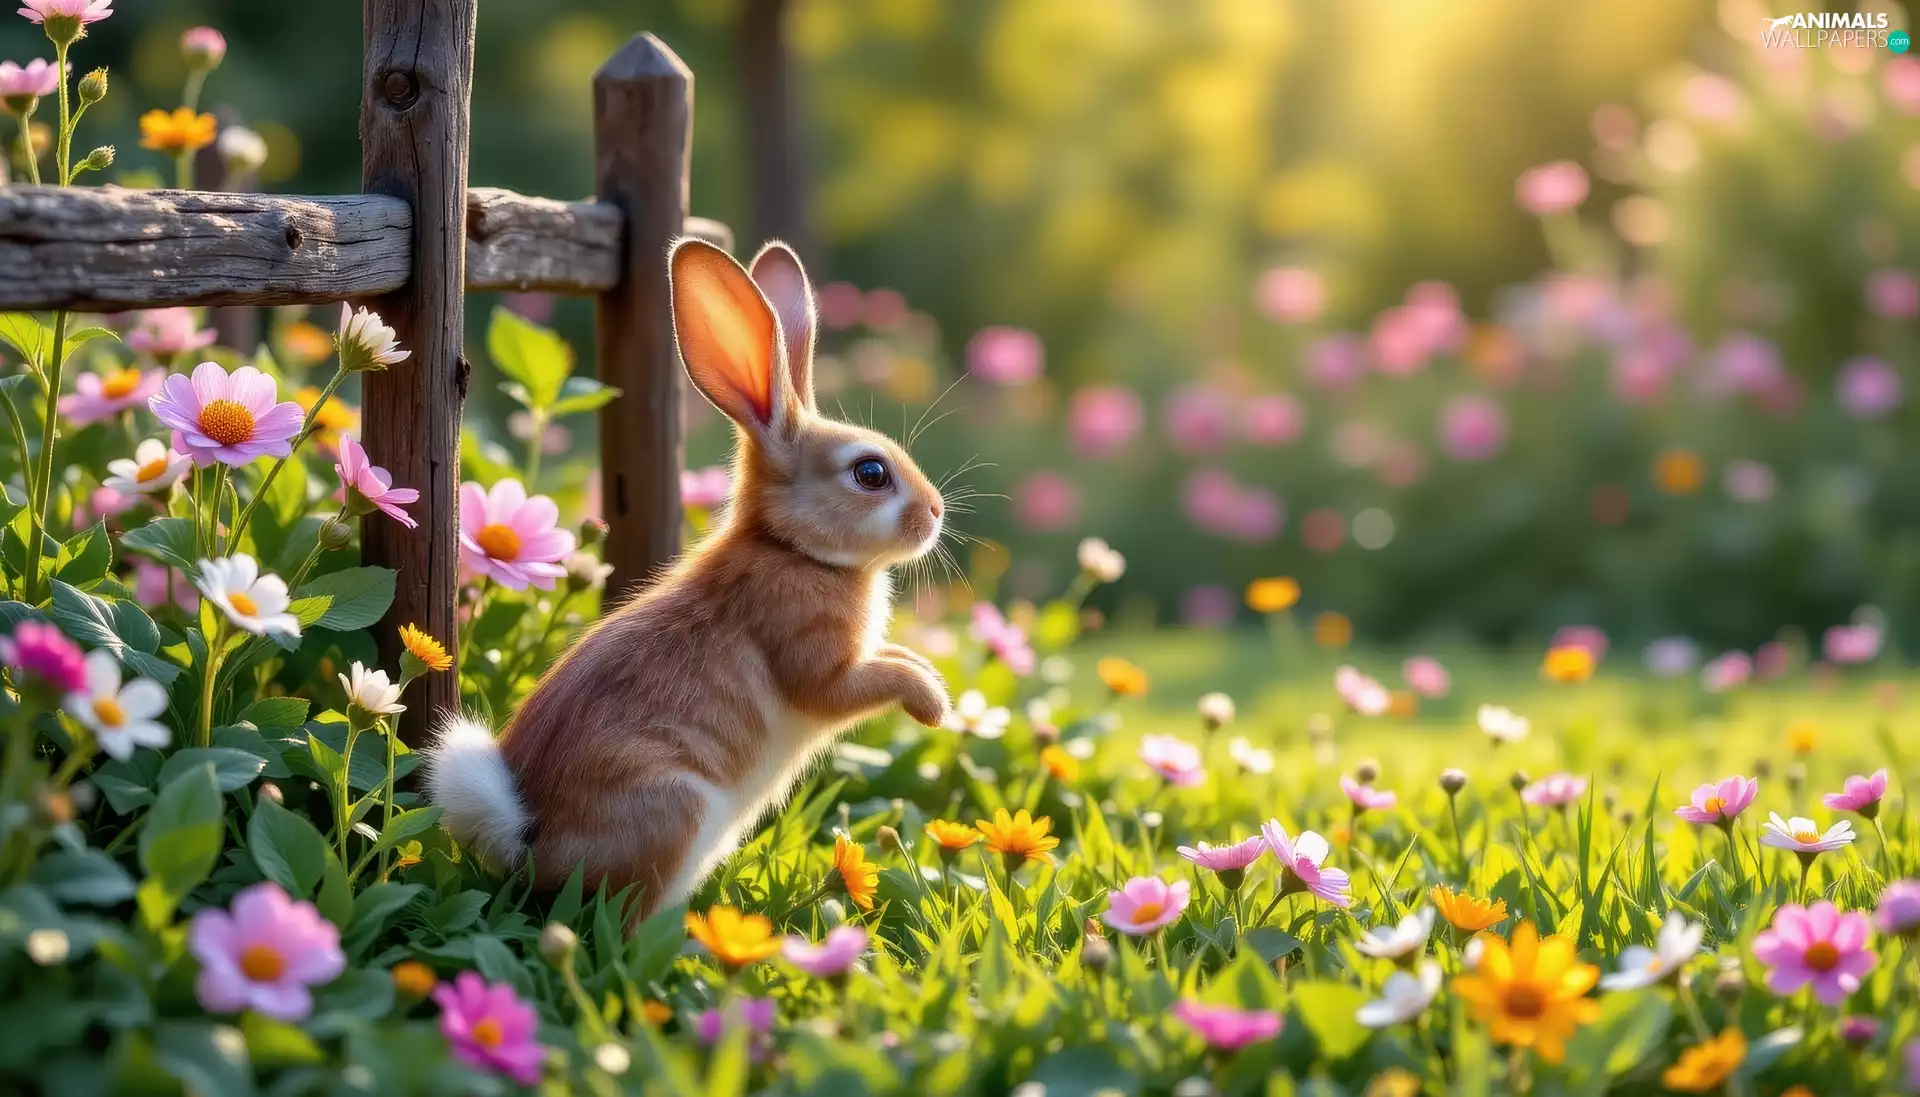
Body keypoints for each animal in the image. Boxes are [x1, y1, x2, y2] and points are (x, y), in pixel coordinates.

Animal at [424, 238, 952, 917]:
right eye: (870, 473)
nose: (935, 513)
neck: (792, 549)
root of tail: (526, 843)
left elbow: (896, 657)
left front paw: (931, 684)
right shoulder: (814, 662)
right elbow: (860, 682)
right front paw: (931, 705)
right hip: (676, 809)